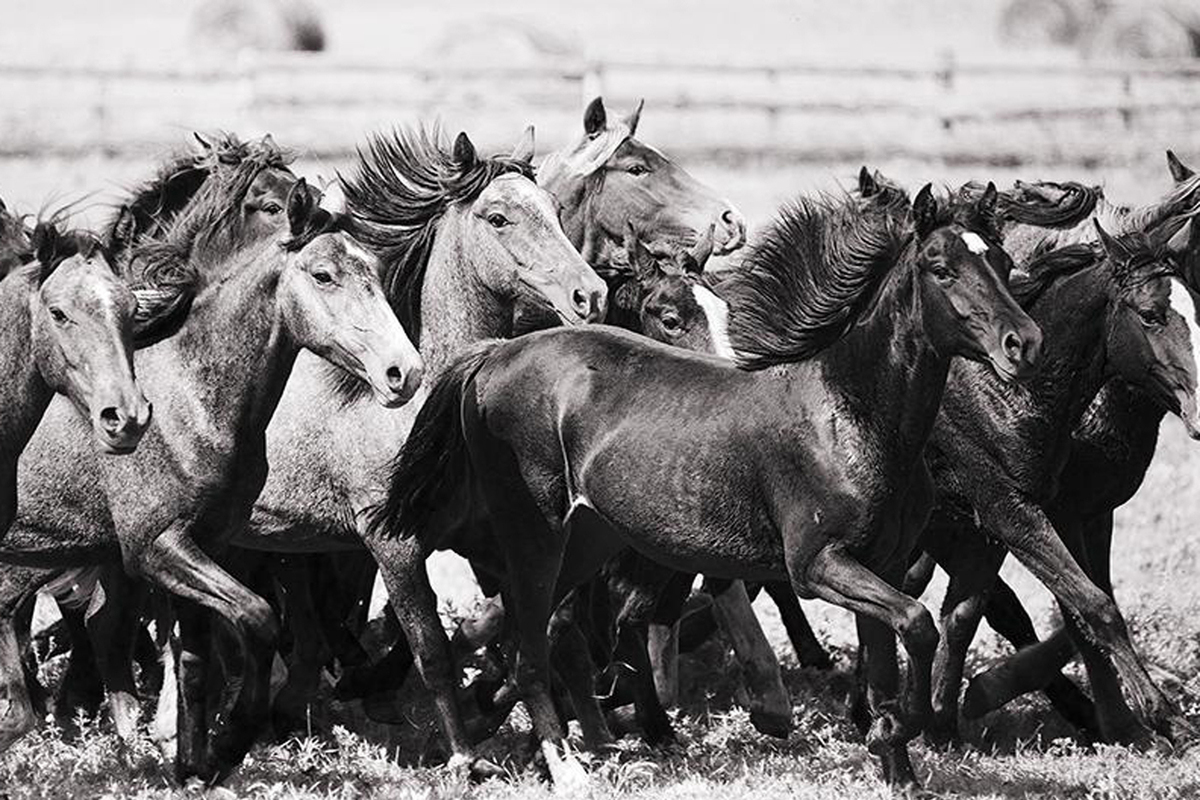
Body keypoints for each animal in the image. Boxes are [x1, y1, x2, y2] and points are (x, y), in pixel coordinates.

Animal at [0, 176, 422, 782]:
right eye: (324, 275)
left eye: (375, 272)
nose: (403, 373)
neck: (195, 401)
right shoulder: (160, 549)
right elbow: (258, 621)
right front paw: (229, 745)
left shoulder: (205, 547)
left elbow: (195, 661)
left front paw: (192, 766)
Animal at [372, 185, 1041, 786]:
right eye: (941, 269)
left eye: (1003, 263)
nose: (1024, 344)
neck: (850, 415)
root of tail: (494, 354)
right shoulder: (818, 565)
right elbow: (919, 623)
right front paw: (901, 728)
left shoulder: (883, 562)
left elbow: (890, 658)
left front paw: (896, 764)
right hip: (534, 536)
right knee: (532, 649)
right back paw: (565, 767)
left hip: (585, 540)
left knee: (536, 636)